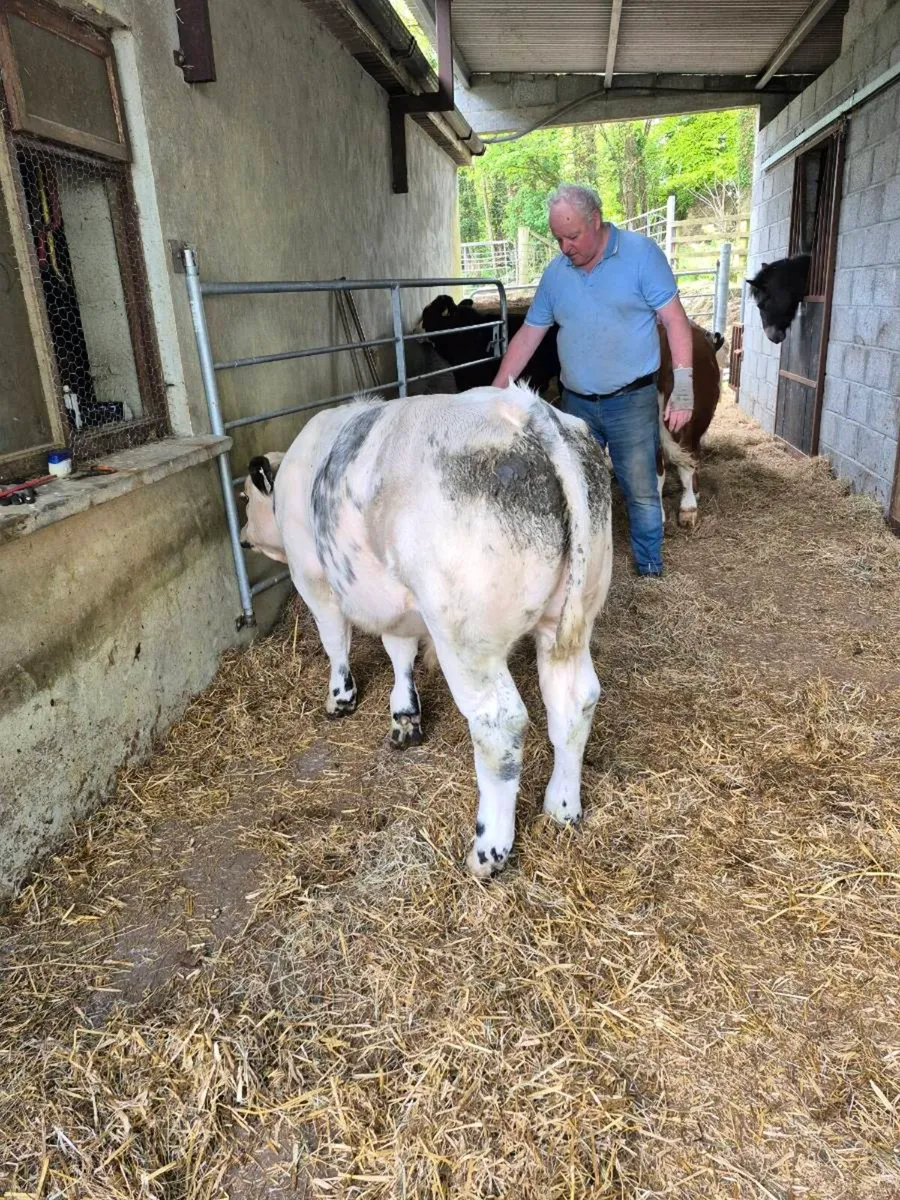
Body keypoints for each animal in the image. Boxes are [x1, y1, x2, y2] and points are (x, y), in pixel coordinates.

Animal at [240, 384, 612, 879]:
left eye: (244, 497)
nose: (243, 535)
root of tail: (528, 412)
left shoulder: (312, 577)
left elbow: (334, 640)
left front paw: (340, 698)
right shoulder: (396, 602)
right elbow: (400, 652)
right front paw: (404, 717)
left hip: (467, 642)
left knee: (499, 724)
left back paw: (488, 850)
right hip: (570, 622)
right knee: (574, 702)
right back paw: (562, 806)